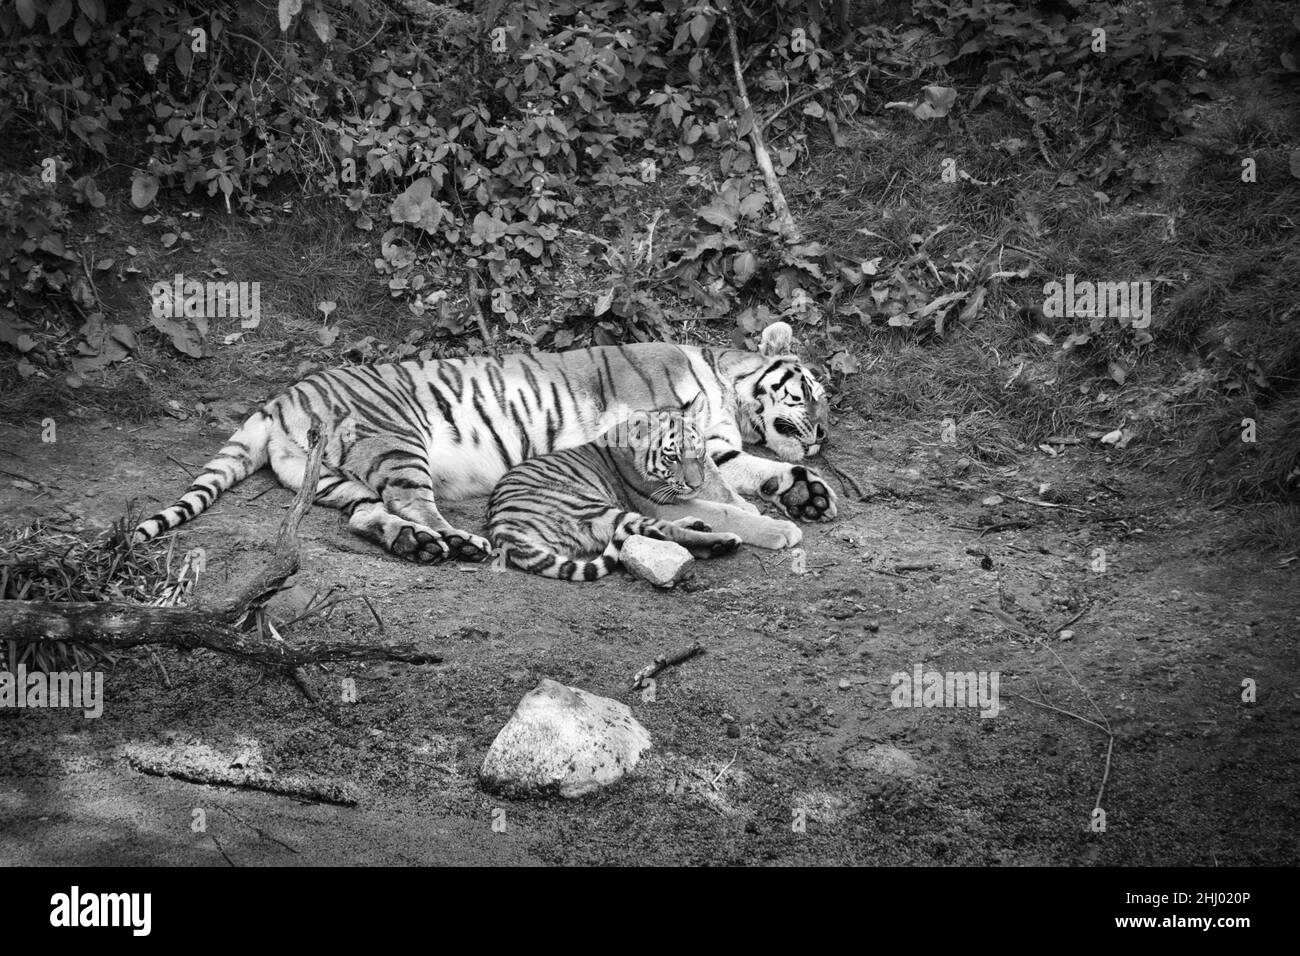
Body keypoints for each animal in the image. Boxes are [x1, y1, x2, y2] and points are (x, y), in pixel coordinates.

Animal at [131, 321, 837, 561]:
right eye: (808, 390)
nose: (824, 432)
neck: (723, 384)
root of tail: (281, 397)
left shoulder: (714, 446)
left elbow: (748, 472)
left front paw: (807, 493)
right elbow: (726, 494)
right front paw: (781, 524)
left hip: (333, 479)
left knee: (366, 517)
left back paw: (419, 545)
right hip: (397, 440)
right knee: (414, 502)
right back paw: (456, 540)